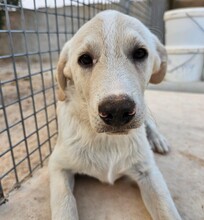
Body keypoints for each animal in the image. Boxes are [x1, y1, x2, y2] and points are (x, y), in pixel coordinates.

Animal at [49, 9, 182, 219]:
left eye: (140, 53)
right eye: (85, 59)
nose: (117, 109)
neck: (107, 141)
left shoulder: (148, 171)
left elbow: (167, 210)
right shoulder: (57, 165)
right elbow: (65, 205)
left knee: (150, 124)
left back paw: (158, 139)